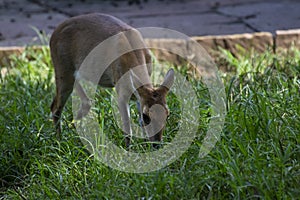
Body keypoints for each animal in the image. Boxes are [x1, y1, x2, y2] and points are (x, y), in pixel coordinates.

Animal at [50, 12, 175, 147]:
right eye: (146, 116)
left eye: (167, 114)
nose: (157, 144)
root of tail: (53, 34)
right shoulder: (120, 91)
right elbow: (128, 128)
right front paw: (128, 149)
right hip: (61, 67)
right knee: (55, 107)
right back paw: (60, 141)